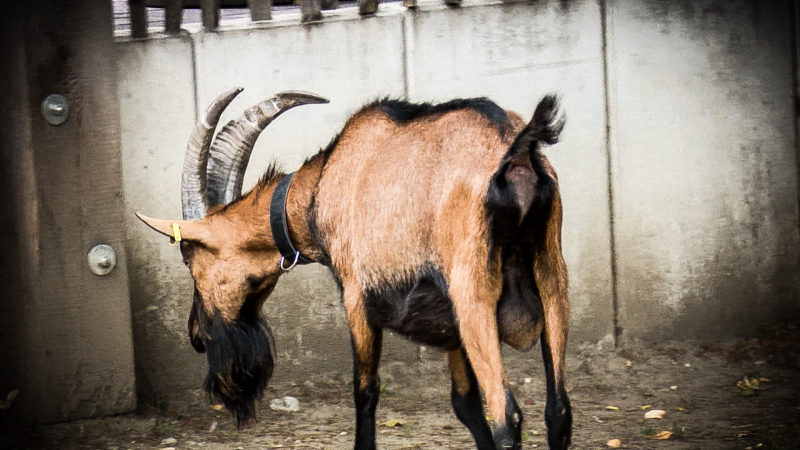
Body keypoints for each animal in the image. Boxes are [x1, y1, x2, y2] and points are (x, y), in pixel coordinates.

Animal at [139, 88, 576, 450]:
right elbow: (464, 403)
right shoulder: (450, 321)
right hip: (550, 273)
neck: (323, 184)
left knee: (507, 417)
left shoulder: (356, 296)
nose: (196, 335)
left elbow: (365, 392)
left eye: (190, 258)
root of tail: (515, 152)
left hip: (474, 292)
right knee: (557, 412)